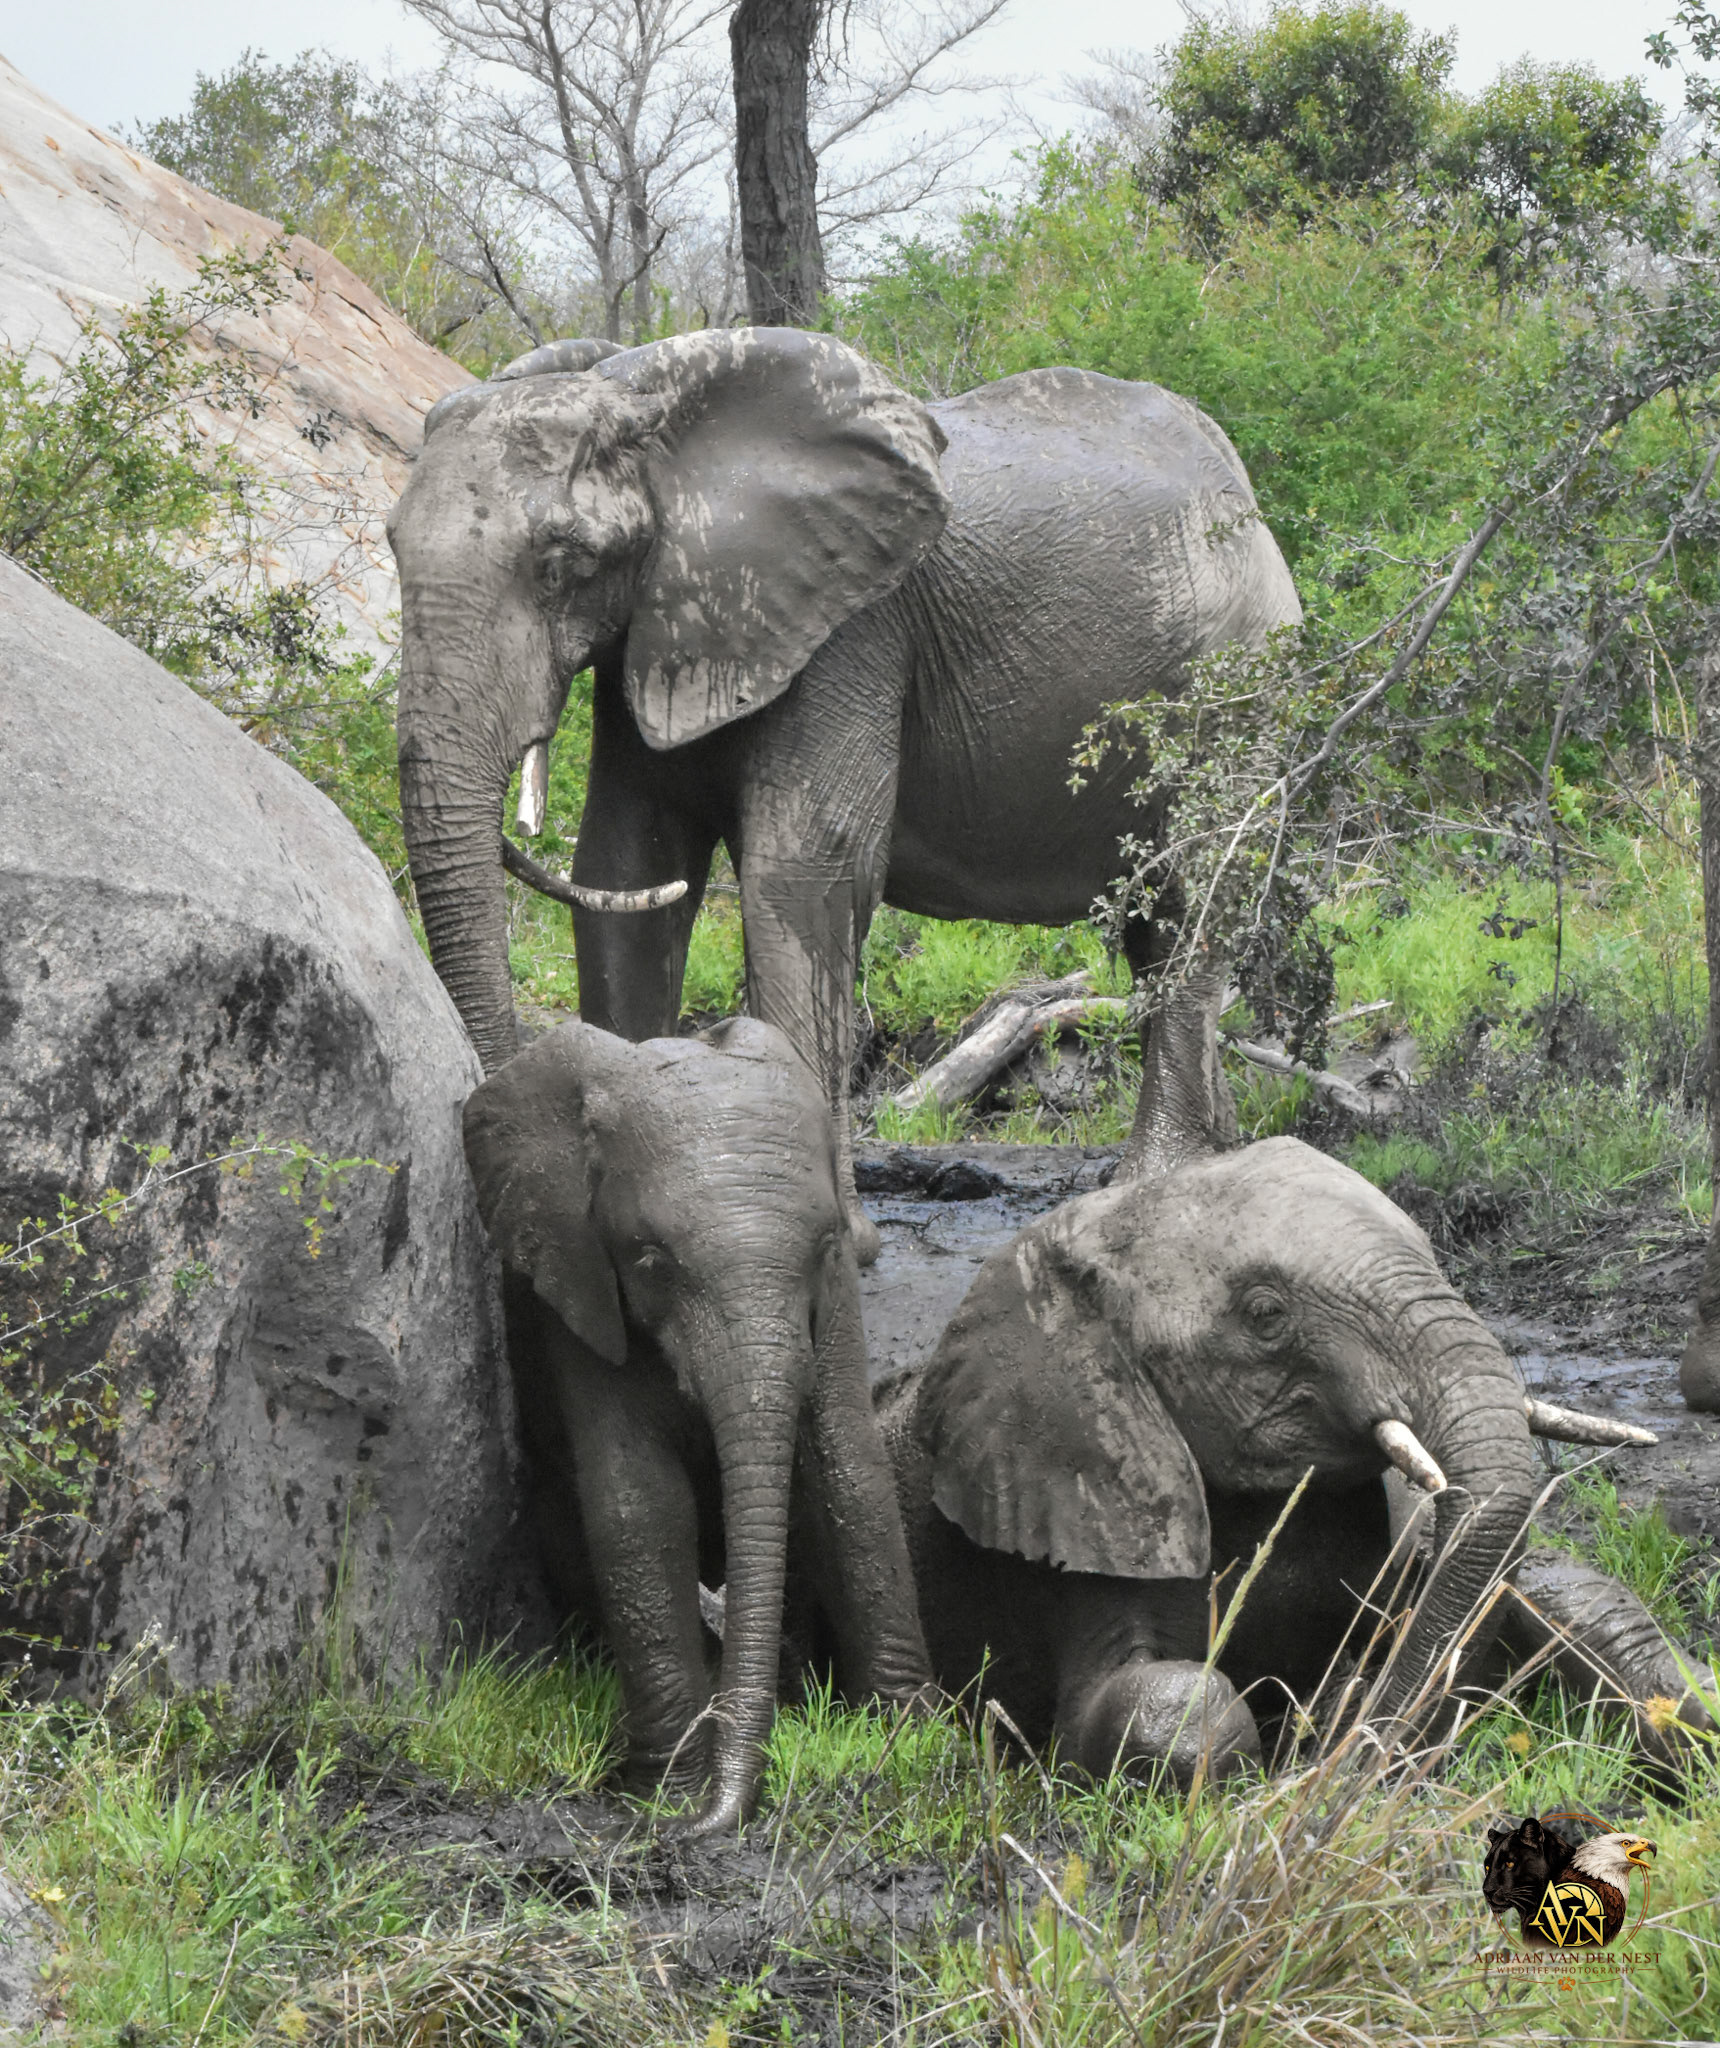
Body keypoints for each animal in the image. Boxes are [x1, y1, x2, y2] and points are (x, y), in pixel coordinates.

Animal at [388, 326, 1301, 1260]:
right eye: (390, 540)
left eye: (562, 561)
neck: (655, 408)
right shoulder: (661, 622)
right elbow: (627, 866)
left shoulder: (852, 629)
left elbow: (803, 873)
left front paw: (836, 1240)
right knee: (1158, 924)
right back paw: (1216, 1160)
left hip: (1241, 681)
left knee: (1196, 892)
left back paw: (1153, 1181)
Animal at [461, 1014, 931, 1834]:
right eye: (651, 1262)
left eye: (823, 1250)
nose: (715, 1822)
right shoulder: (576, 1279)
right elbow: (640, 1505)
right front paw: (670, 1796)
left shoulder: (840, 1291)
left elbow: (848, 1466)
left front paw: (907, 1741)